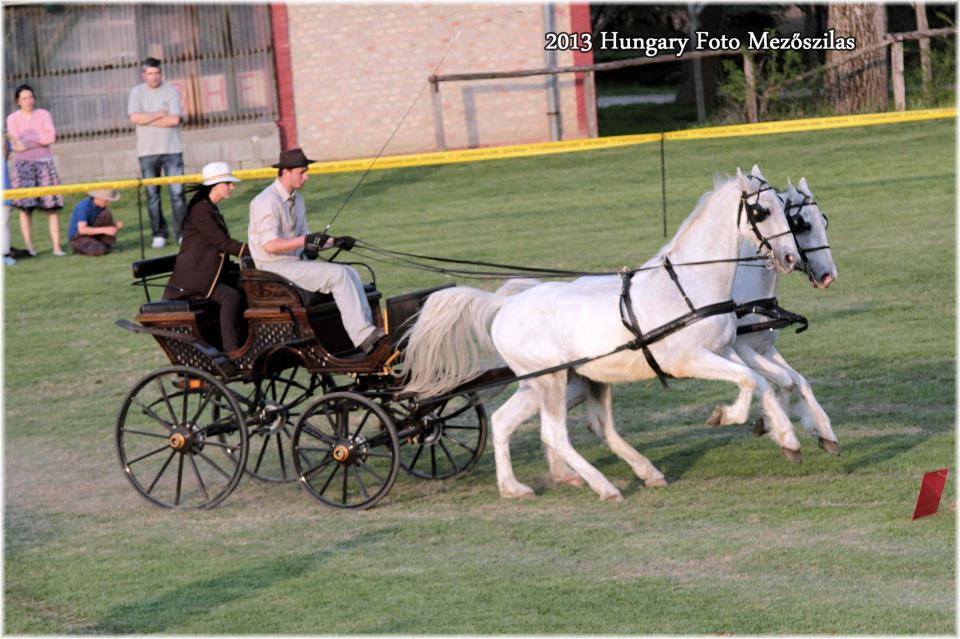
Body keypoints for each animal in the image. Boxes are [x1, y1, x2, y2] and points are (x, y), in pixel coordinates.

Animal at [404, 169, 804, 500]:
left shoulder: (724, 351)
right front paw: (725, 416)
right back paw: (606, 487)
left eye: (785, 208)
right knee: (555, 434)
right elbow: (749, 382)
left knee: (508, 422)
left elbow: (760, 382)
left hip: (553, 382)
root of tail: (504, 305)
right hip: (550, 380)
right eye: (762, 211)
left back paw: (517, 487)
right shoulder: (690, 359)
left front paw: (788, 439)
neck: (689, 285)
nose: (790, 257)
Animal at [736, 176, 840, 456]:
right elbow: (781, 380)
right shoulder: (742, 350)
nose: (829, 275)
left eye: (824, 221)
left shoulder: (764, 347)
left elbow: (796, 381)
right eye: (801, 224)